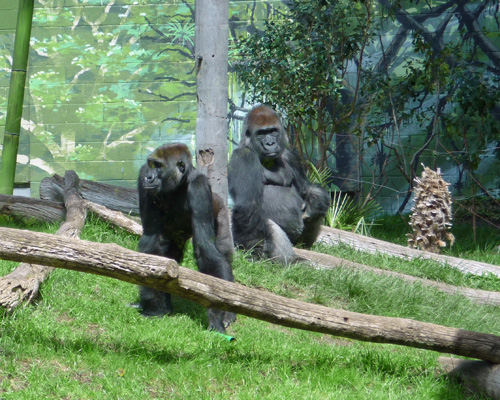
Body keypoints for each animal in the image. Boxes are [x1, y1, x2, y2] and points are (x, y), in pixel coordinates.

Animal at [137, 142, 236, 332]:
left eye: (159, 166)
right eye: (151, 164)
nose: (149, 178)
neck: (179, 184)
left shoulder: (200, 186)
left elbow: (205, 249)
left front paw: (216, 315)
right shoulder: (142, 174)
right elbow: (152, 243)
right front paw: (156, 308)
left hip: (221, 208)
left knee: (223, 255)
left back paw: (229, 313)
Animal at [228, 104, 330, 264]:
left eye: (273, 131)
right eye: (261, 133)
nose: (270, 143)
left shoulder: (291, 156)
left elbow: (305, 189)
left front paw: (317, 198)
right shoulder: (244, 157)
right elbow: (247, 205)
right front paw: (252, 248)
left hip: (298, 242)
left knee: (314, 216)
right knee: (267, 223)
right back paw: (290, 260)